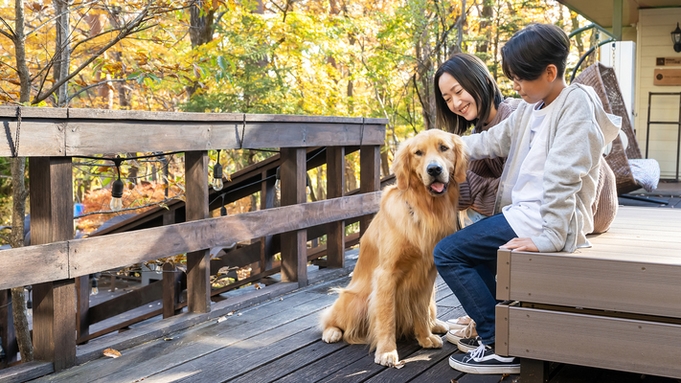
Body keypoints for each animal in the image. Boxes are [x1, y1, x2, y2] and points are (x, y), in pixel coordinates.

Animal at [318, 130, 468, 368]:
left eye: (444, 148)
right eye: (418, 152)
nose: (434, 169)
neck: (425, 209)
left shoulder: (427, 274)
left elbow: (420, 309)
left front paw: (425, 337)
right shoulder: (386, 274)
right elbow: (387, 317)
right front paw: (386, 351)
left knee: (429, 310)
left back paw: (435, 325)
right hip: (355, 301)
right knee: (330, 318)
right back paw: (331, 332)